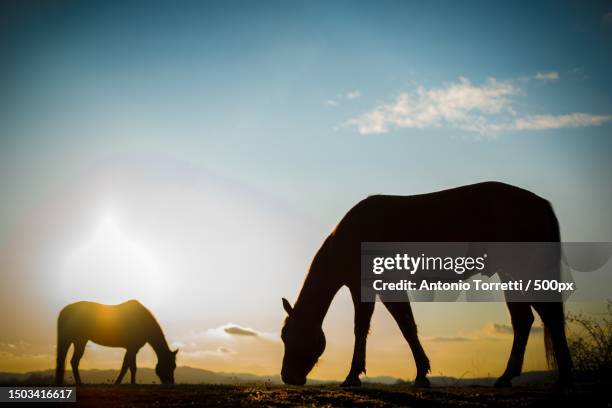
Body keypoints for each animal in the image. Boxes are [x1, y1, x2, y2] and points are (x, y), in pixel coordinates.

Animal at [280, 182, 572, 388]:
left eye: (288, 336)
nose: (287, 376)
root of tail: (540, 203)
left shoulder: (372, 286)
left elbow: (375, 327)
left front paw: (353, 376)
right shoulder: (378, 287)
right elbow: (403, 326)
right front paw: (421, 373)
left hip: (520, 271)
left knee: (543, 317)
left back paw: (553, 376)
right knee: (529, 319)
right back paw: (521, 376)